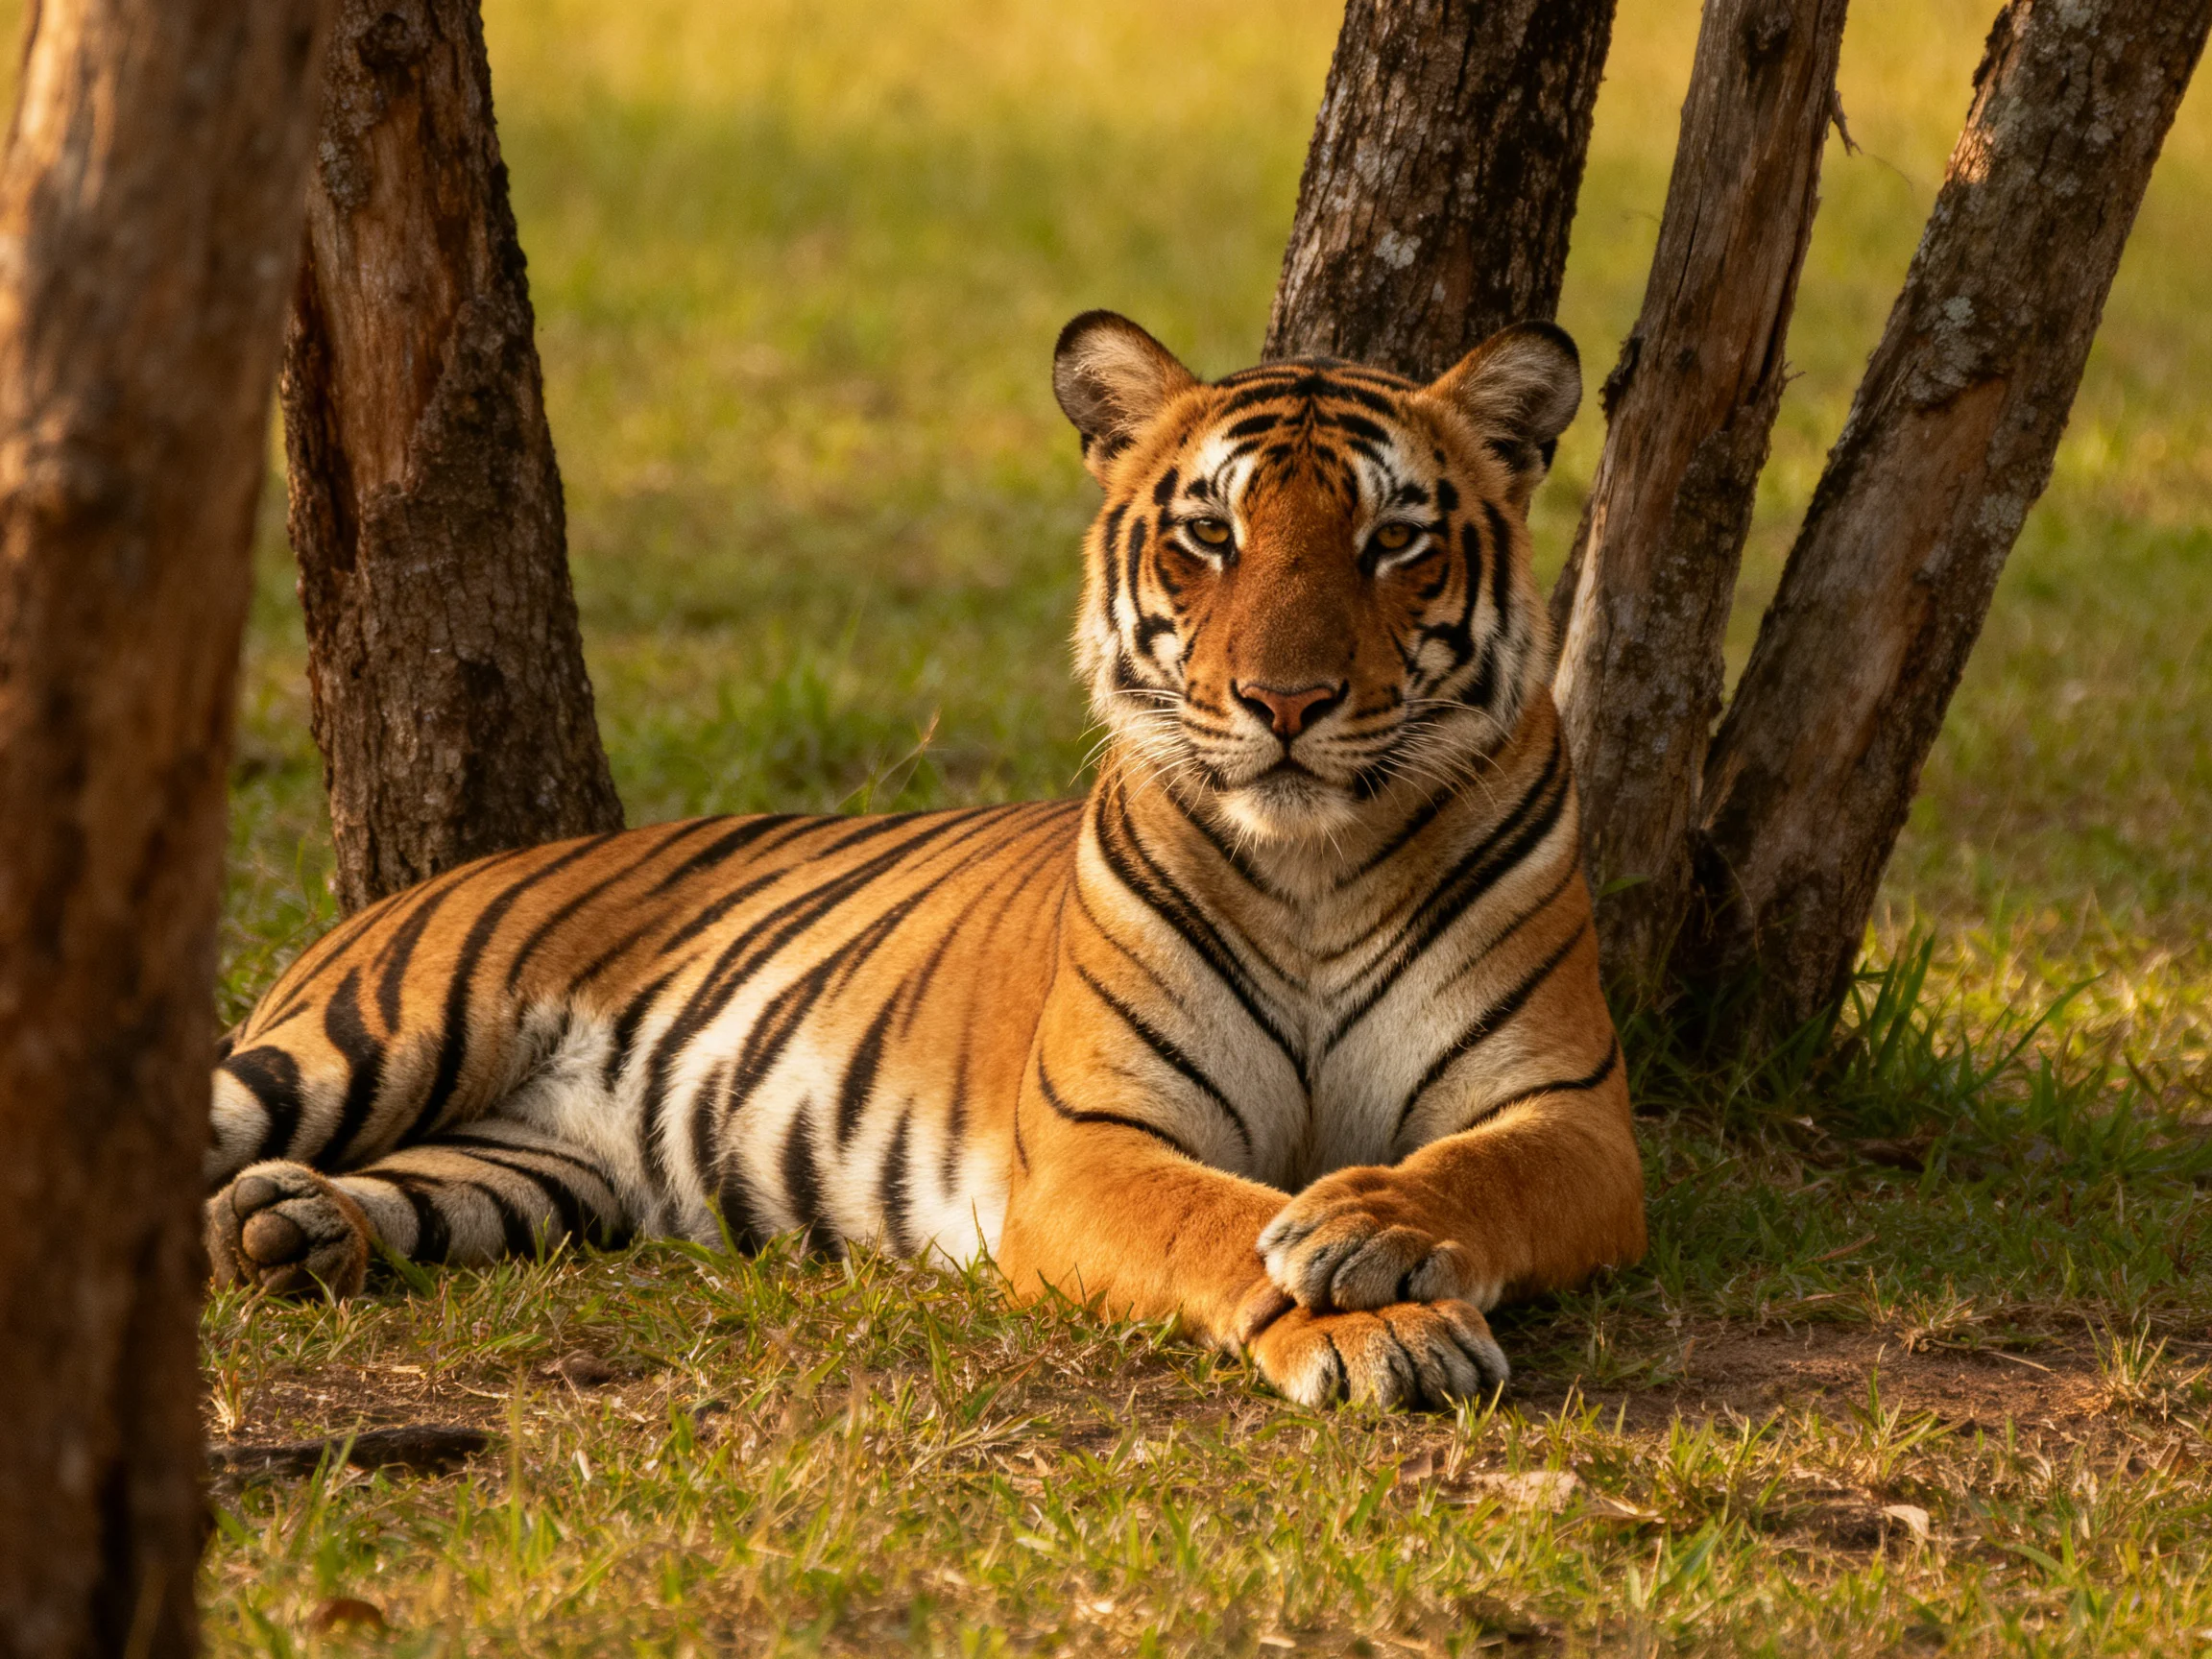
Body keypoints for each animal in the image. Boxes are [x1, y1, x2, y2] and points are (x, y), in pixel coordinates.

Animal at [203, 311, 1647, 1410]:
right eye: (1210, 536)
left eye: (1393, 539)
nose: (1284, 702)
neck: (1312, 868)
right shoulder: (1090, 1145)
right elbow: (1223, 1218)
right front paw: (1377, 1322)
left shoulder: (1572, 1112)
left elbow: (1472, 1170)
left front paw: (1367, 1229)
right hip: (364, 1042)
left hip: (540, 1172)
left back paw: (290, 1228)